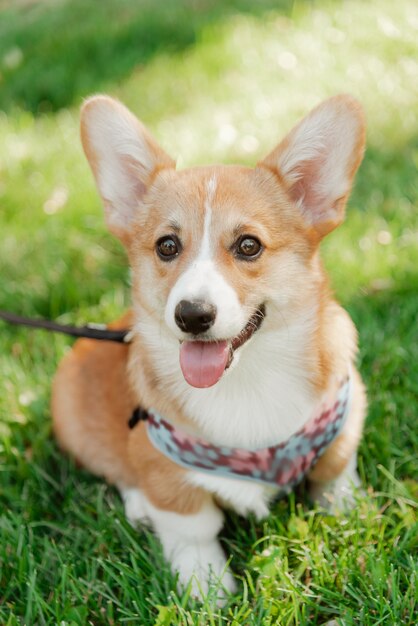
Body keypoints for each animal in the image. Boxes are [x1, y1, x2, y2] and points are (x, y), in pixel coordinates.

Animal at [52, 92, 366, 596]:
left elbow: (336, 478)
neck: (247, 381)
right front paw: (207, 589)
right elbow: (192, 529)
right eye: (166, 246)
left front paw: (354, 517)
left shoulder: (345, 415)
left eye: (249, 246)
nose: (192, 315)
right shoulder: (163, 466)